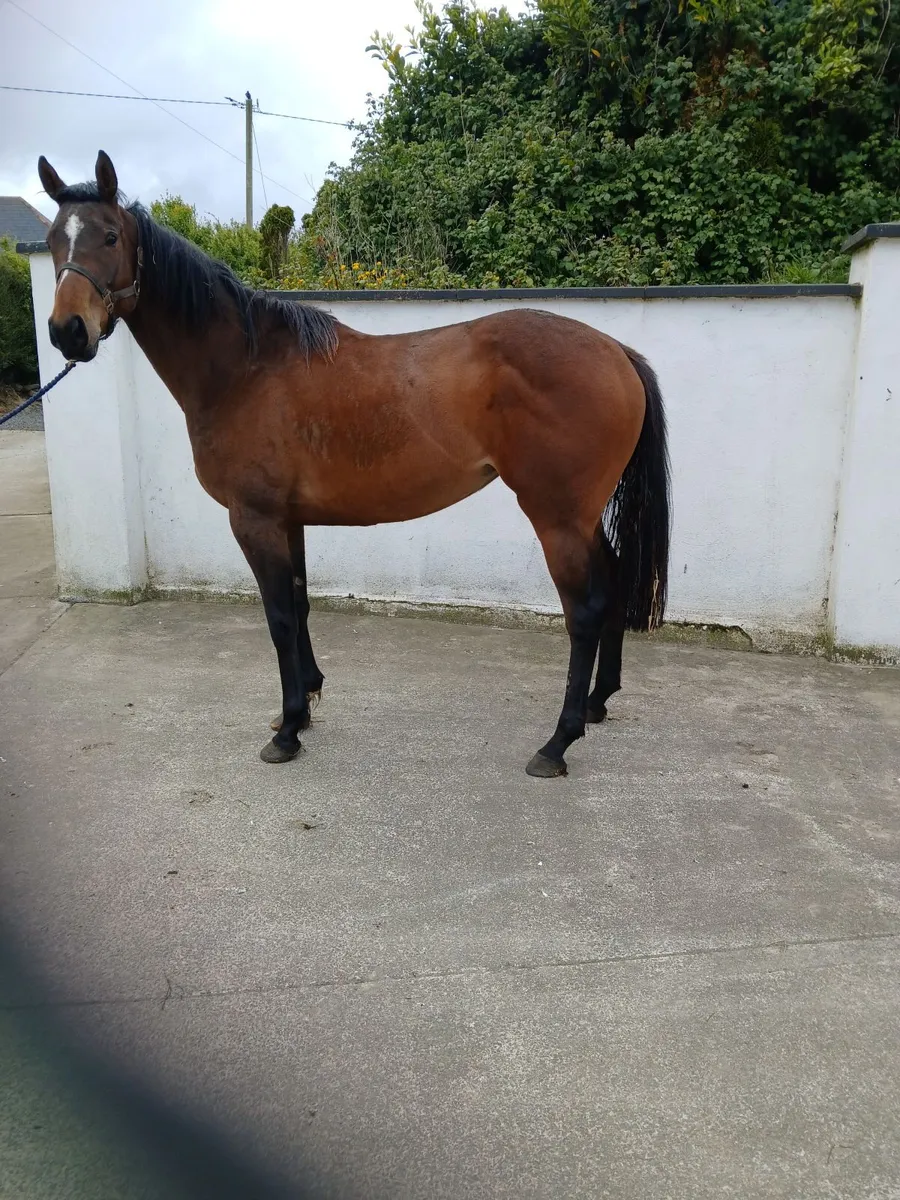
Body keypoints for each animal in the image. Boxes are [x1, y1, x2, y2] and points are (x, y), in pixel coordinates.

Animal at [37, 151, 671, 778]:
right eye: (51, 240)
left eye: (111, 236)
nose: (68, 332)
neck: (245, 368)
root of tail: (617, 352)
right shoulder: (287, 520)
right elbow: (299, 603)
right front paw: (304, 702)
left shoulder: (254, 519)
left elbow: (279, 617)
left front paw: (289, 731)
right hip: (582, 518)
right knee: (613, 583)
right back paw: (597, 703)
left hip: (557, 517)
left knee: (584, 611)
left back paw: (557, 743)